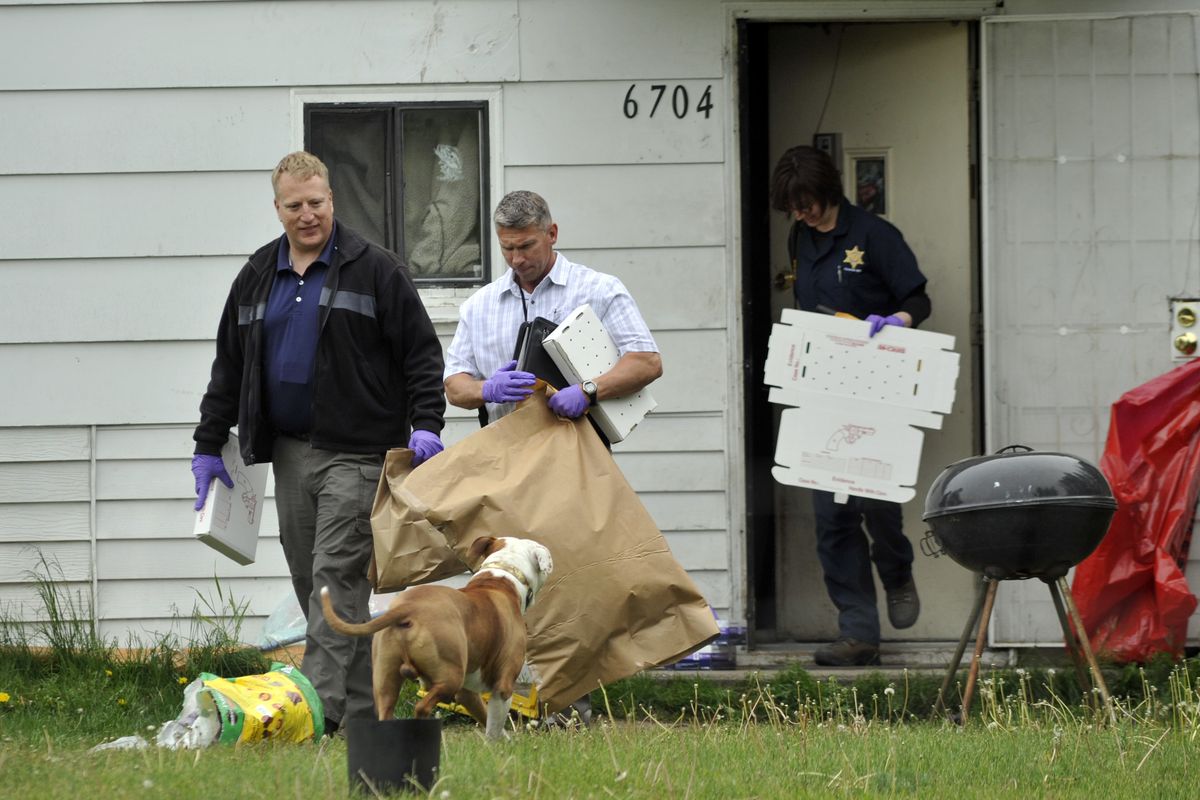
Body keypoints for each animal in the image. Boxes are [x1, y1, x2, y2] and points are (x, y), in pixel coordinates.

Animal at [324, 534, 556, 743]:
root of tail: (409, 608)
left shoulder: (467, 694)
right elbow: (493, 727)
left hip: (386, 680)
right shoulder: (503, 686)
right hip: (449, 677)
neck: (502, 576)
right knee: (422, 707)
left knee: (386, 712)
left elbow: (484, 716)